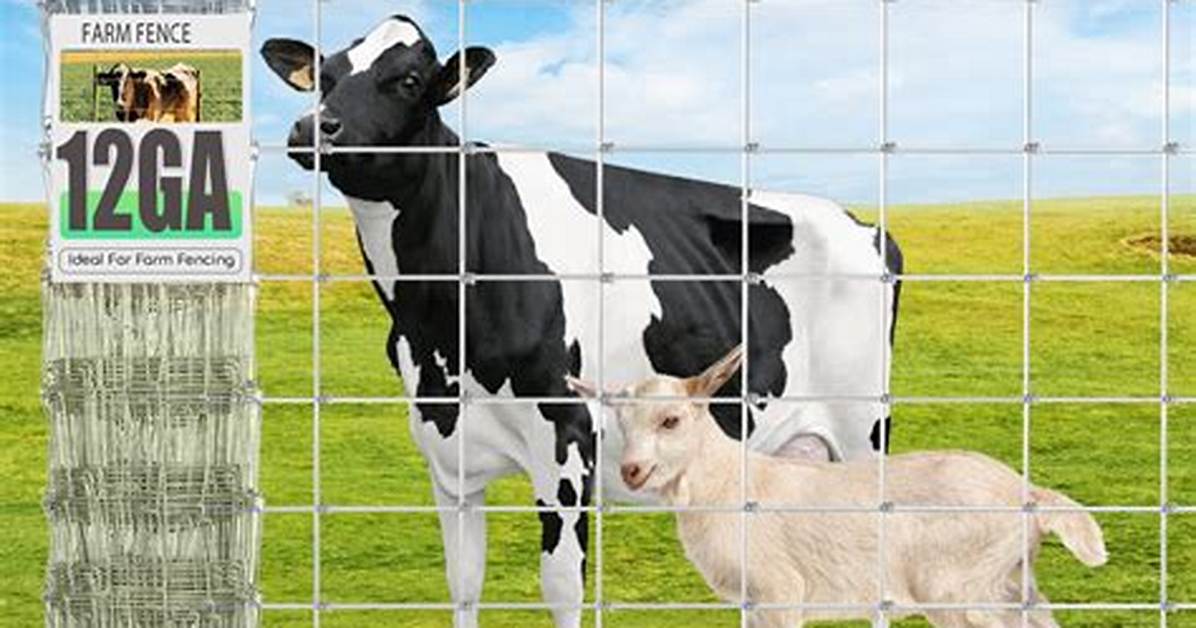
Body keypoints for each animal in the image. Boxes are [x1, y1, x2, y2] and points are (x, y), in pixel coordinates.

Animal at [262, 15, 902, 628]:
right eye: (325, 77)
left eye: (409, 81)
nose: (312, 127)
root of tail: (864, 225)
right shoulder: (444, 448)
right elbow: (462, 584)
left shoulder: (567, 437)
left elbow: (562, 588)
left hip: (862, 432)